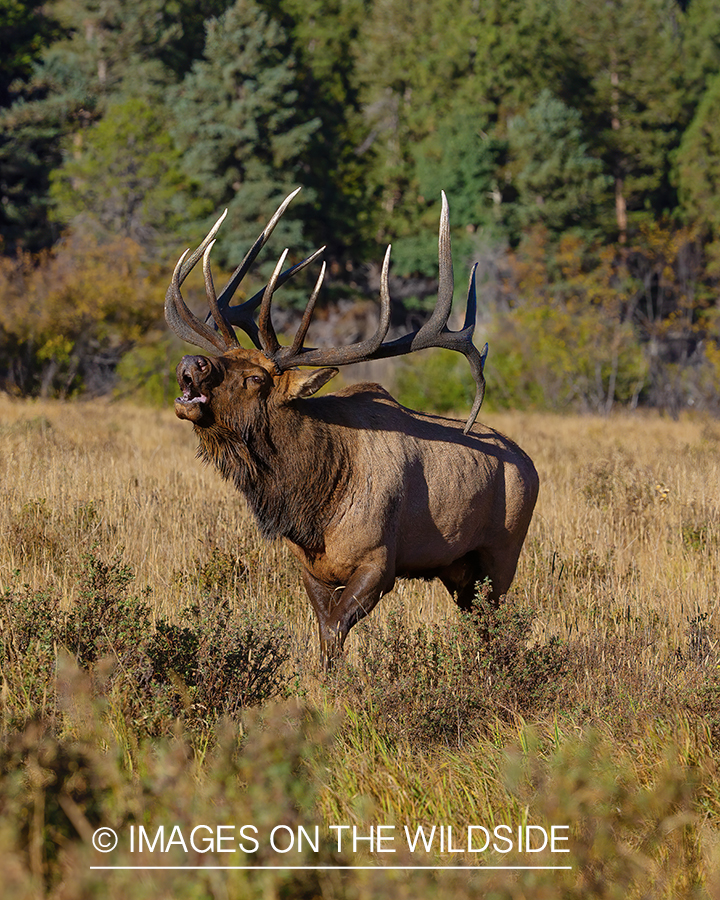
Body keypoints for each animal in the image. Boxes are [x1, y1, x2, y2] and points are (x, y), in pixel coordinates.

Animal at [166, 190, 536, 668]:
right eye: (224, 360)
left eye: (256, 378)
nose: (192, 364)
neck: (312, 505)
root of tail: (531, 466)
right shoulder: (310, 567)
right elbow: (326, 632)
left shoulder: (380, 561)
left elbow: (338, 625)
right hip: (459, 571)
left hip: (502, 553)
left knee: (496, 621)